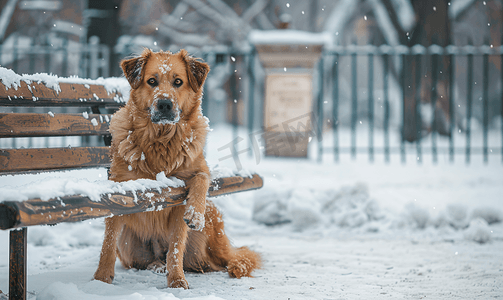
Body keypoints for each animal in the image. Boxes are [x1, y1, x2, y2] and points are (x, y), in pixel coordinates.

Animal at [92, 49, 262, 288]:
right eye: (151, 81)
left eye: (178, 82)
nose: (164, 104)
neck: (162, 140)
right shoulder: (119, 187)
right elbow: (108, 242)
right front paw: (101, 278)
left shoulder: (191, 180)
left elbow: (177, 242)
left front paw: (177, 279)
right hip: (129, 244)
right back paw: (157, 265)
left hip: (209, 234)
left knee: (226, 259)